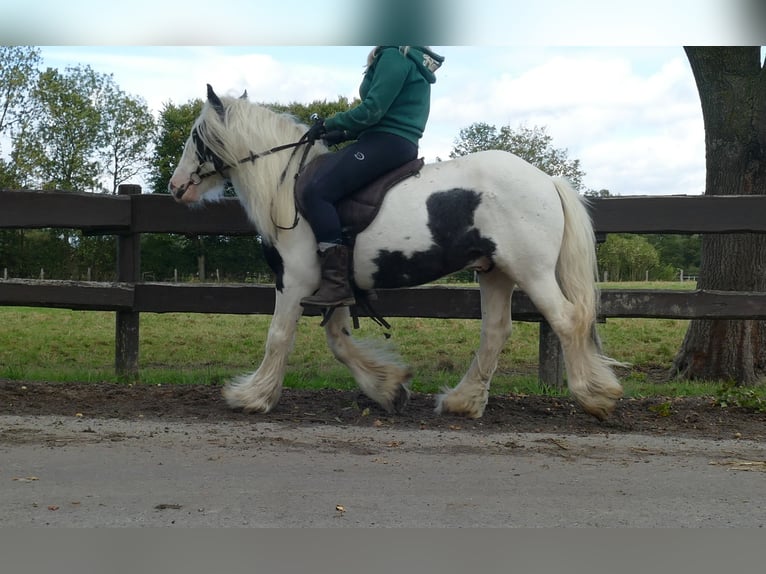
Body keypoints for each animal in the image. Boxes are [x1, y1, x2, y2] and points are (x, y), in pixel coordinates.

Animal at [168, 83, 624, 420]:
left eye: (195, 136)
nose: (175, 186)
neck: (288, 185)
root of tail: (547, 180)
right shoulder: (333, 287)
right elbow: (338, 341)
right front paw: (388, 388)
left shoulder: (295, 280)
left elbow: (279, 337)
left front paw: (253, 396)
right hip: (495, 272)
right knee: (496, 331)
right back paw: (463, 402)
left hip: (531, 271)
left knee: (566, 320)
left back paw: (594, 396)